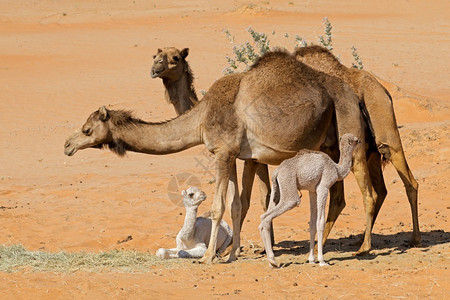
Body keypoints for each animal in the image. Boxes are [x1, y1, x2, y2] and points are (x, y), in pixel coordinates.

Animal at [258, 134, 360, 268]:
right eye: (355, 140)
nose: (360, 141)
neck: (337, 169)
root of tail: (277, 171)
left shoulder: (312, 191)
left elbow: (312, 223)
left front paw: (311, 259)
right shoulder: (323, 187)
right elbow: (320, 222)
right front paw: (322, 261)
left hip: (277, 189)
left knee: (264, 216)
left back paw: (271, 262)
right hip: (290, 189)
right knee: (267, 216)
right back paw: (273, 260)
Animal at [296, 46, 422, 248]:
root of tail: (383, 91)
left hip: (384, 139)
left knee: (406, 183)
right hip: (373, 150)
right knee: (383, 189)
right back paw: (363, 239)